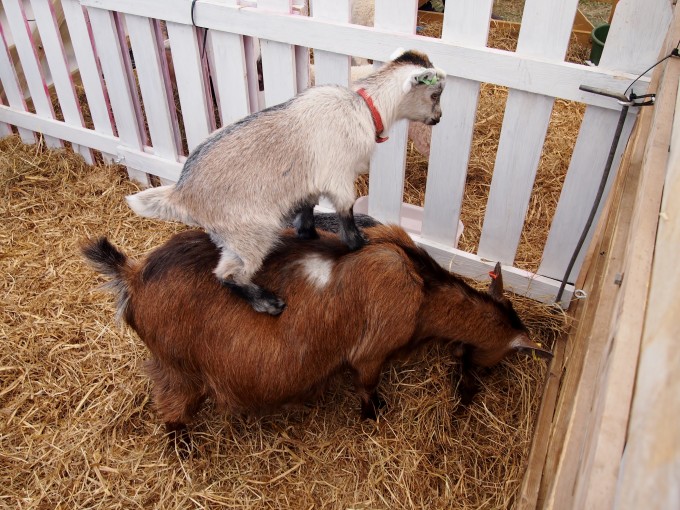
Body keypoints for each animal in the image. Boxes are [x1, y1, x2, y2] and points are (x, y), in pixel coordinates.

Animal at [81, 224, 551, 434]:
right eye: (495, 363)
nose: (468, 398)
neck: (423, 288)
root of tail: (132, 276)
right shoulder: (371, 351)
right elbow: (367, 385)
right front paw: (373, 416)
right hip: (178, 367)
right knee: (171, 410)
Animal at [125, 49, 446, 316]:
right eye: (435, 94)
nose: (439, 118)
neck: (365, 108)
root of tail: (181, 193)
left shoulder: (309, 182)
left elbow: (307, 208)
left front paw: (308, 234)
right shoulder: (340, 176)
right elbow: (347, 211)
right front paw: (359, 242)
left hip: (234, 237)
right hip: (251, 232)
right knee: (229, 274)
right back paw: (268, 303)